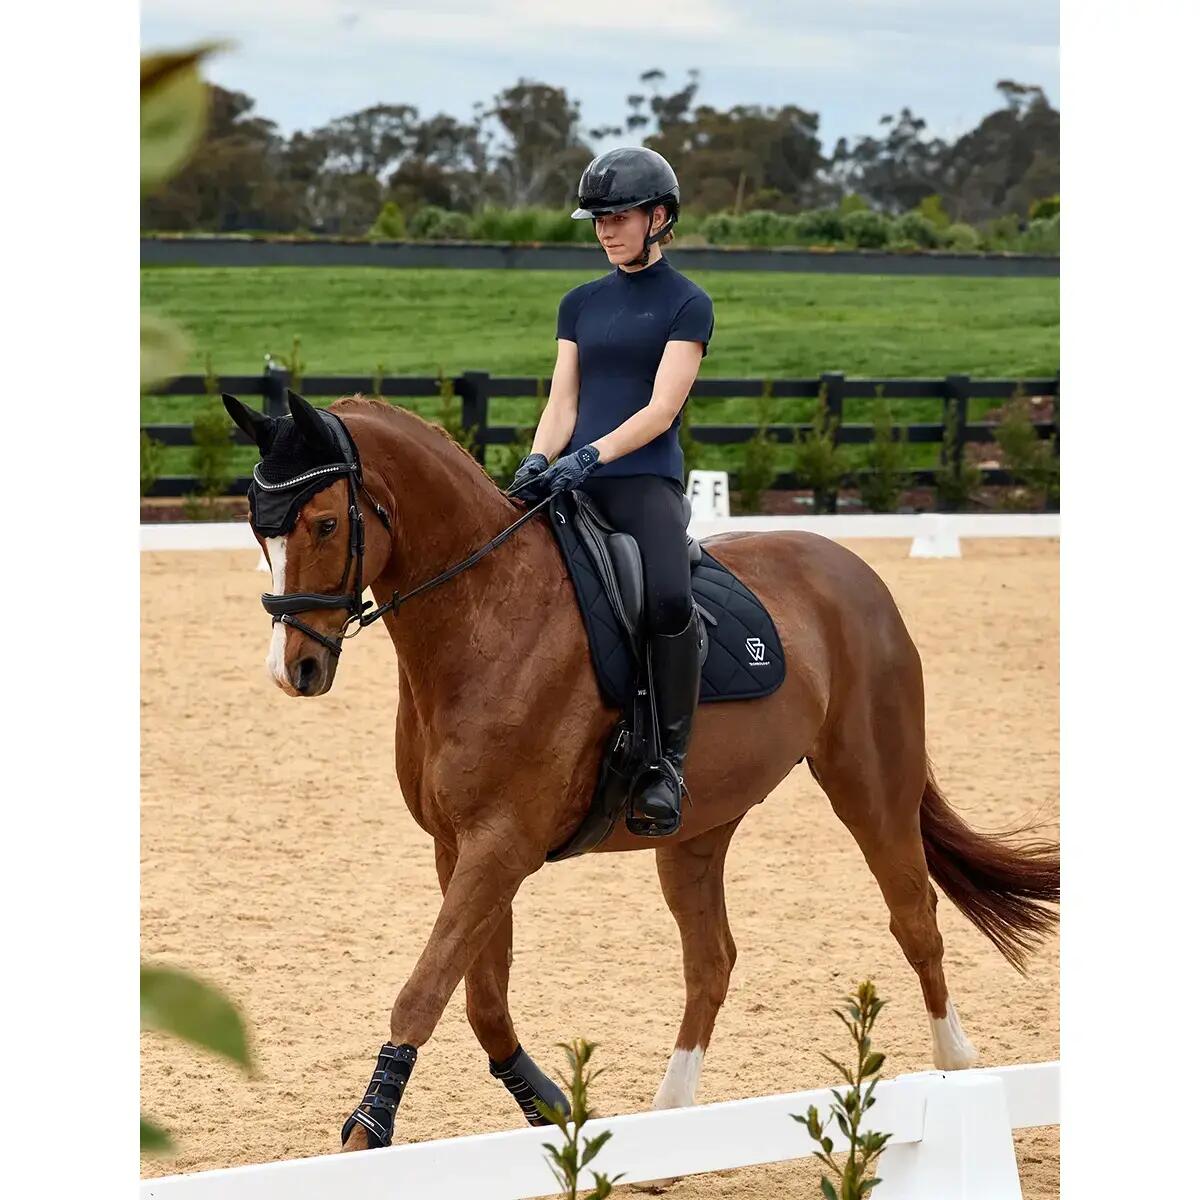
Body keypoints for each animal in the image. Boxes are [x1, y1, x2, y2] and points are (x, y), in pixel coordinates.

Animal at [222, 389, 1059, 1152]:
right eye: (260, 528)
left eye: (326, 523)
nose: (294, 669)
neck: (487, 612)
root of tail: (850, 567)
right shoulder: (459, 845)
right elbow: (482, 1000)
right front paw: (551, 1108)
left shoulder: (501, 844)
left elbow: (424, 990)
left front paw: (368, 1133)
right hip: (696, 830)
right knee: (711, 960)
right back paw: (670, 1125)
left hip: (871, 782)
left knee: (914, 918)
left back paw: (957, 1069)